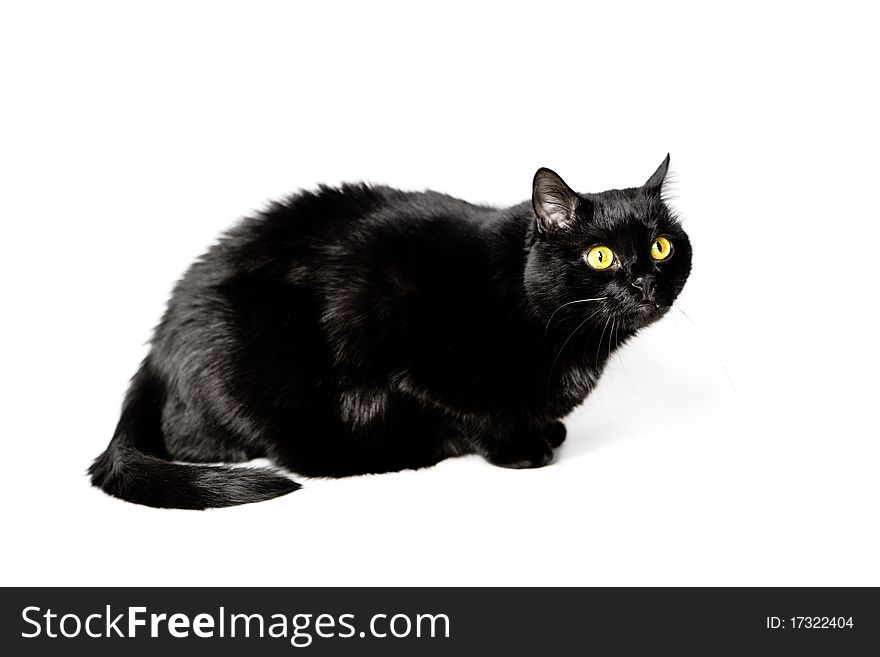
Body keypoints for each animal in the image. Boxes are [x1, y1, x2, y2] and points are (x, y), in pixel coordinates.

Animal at [91, 156, 696, 510]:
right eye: (600, 256)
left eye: (662, 246)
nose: (643, 281)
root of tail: (156, 347)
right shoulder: (403, 346)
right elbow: (470, 414)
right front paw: (519, 448)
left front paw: (543, 429)